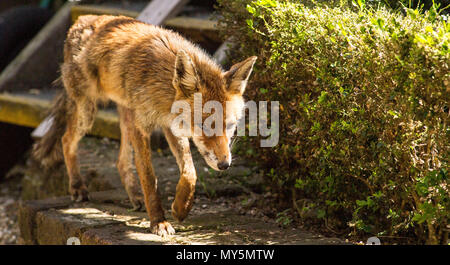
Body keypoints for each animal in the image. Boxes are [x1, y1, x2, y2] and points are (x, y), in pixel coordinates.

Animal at [31, 14, 256, 235]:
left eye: (231, 126)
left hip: (125, 118)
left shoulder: (170, 126)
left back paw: (135, 195)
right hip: (88, 113)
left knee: (121, 162)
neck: (161, 90)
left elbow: (190, 172)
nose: (224, 165)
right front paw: (159, 222)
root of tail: (82, 19)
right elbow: (149, 178)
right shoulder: (142, 128)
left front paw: (181, 207)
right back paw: (78, 186)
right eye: (203, 126)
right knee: (66, 139)